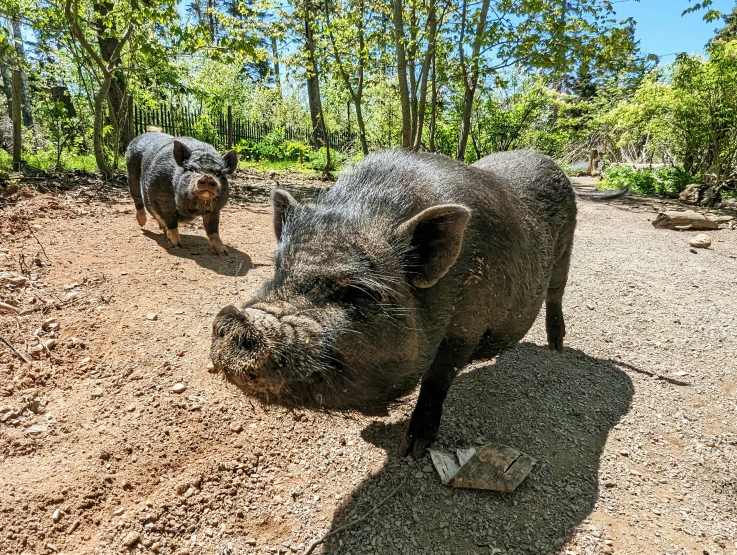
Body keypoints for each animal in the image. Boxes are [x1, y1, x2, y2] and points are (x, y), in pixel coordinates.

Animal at [210, 150, 624, 458]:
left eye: (356, 293)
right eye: (279, 271)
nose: (238, 319)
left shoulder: (466, 328)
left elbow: (438, 378)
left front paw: (413, 449)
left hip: (566, 248)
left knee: (557, 293)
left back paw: (557, 347)